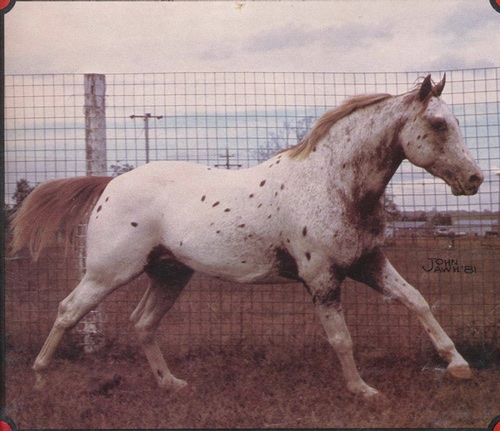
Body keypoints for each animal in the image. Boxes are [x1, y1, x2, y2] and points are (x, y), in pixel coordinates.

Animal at [9, 76, 482, 400]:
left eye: (458, 120)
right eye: (438, 123)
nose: (475, 179)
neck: (332, 183)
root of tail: (110, 184)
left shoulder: (369, 263)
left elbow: (417, 301)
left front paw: (459, 366)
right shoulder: (322, 278)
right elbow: (342, 338)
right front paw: (362, 390)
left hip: (168, 274)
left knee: (143, 323)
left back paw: (172, 383)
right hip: (109, 273)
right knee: (68, 311)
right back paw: (40, 377)